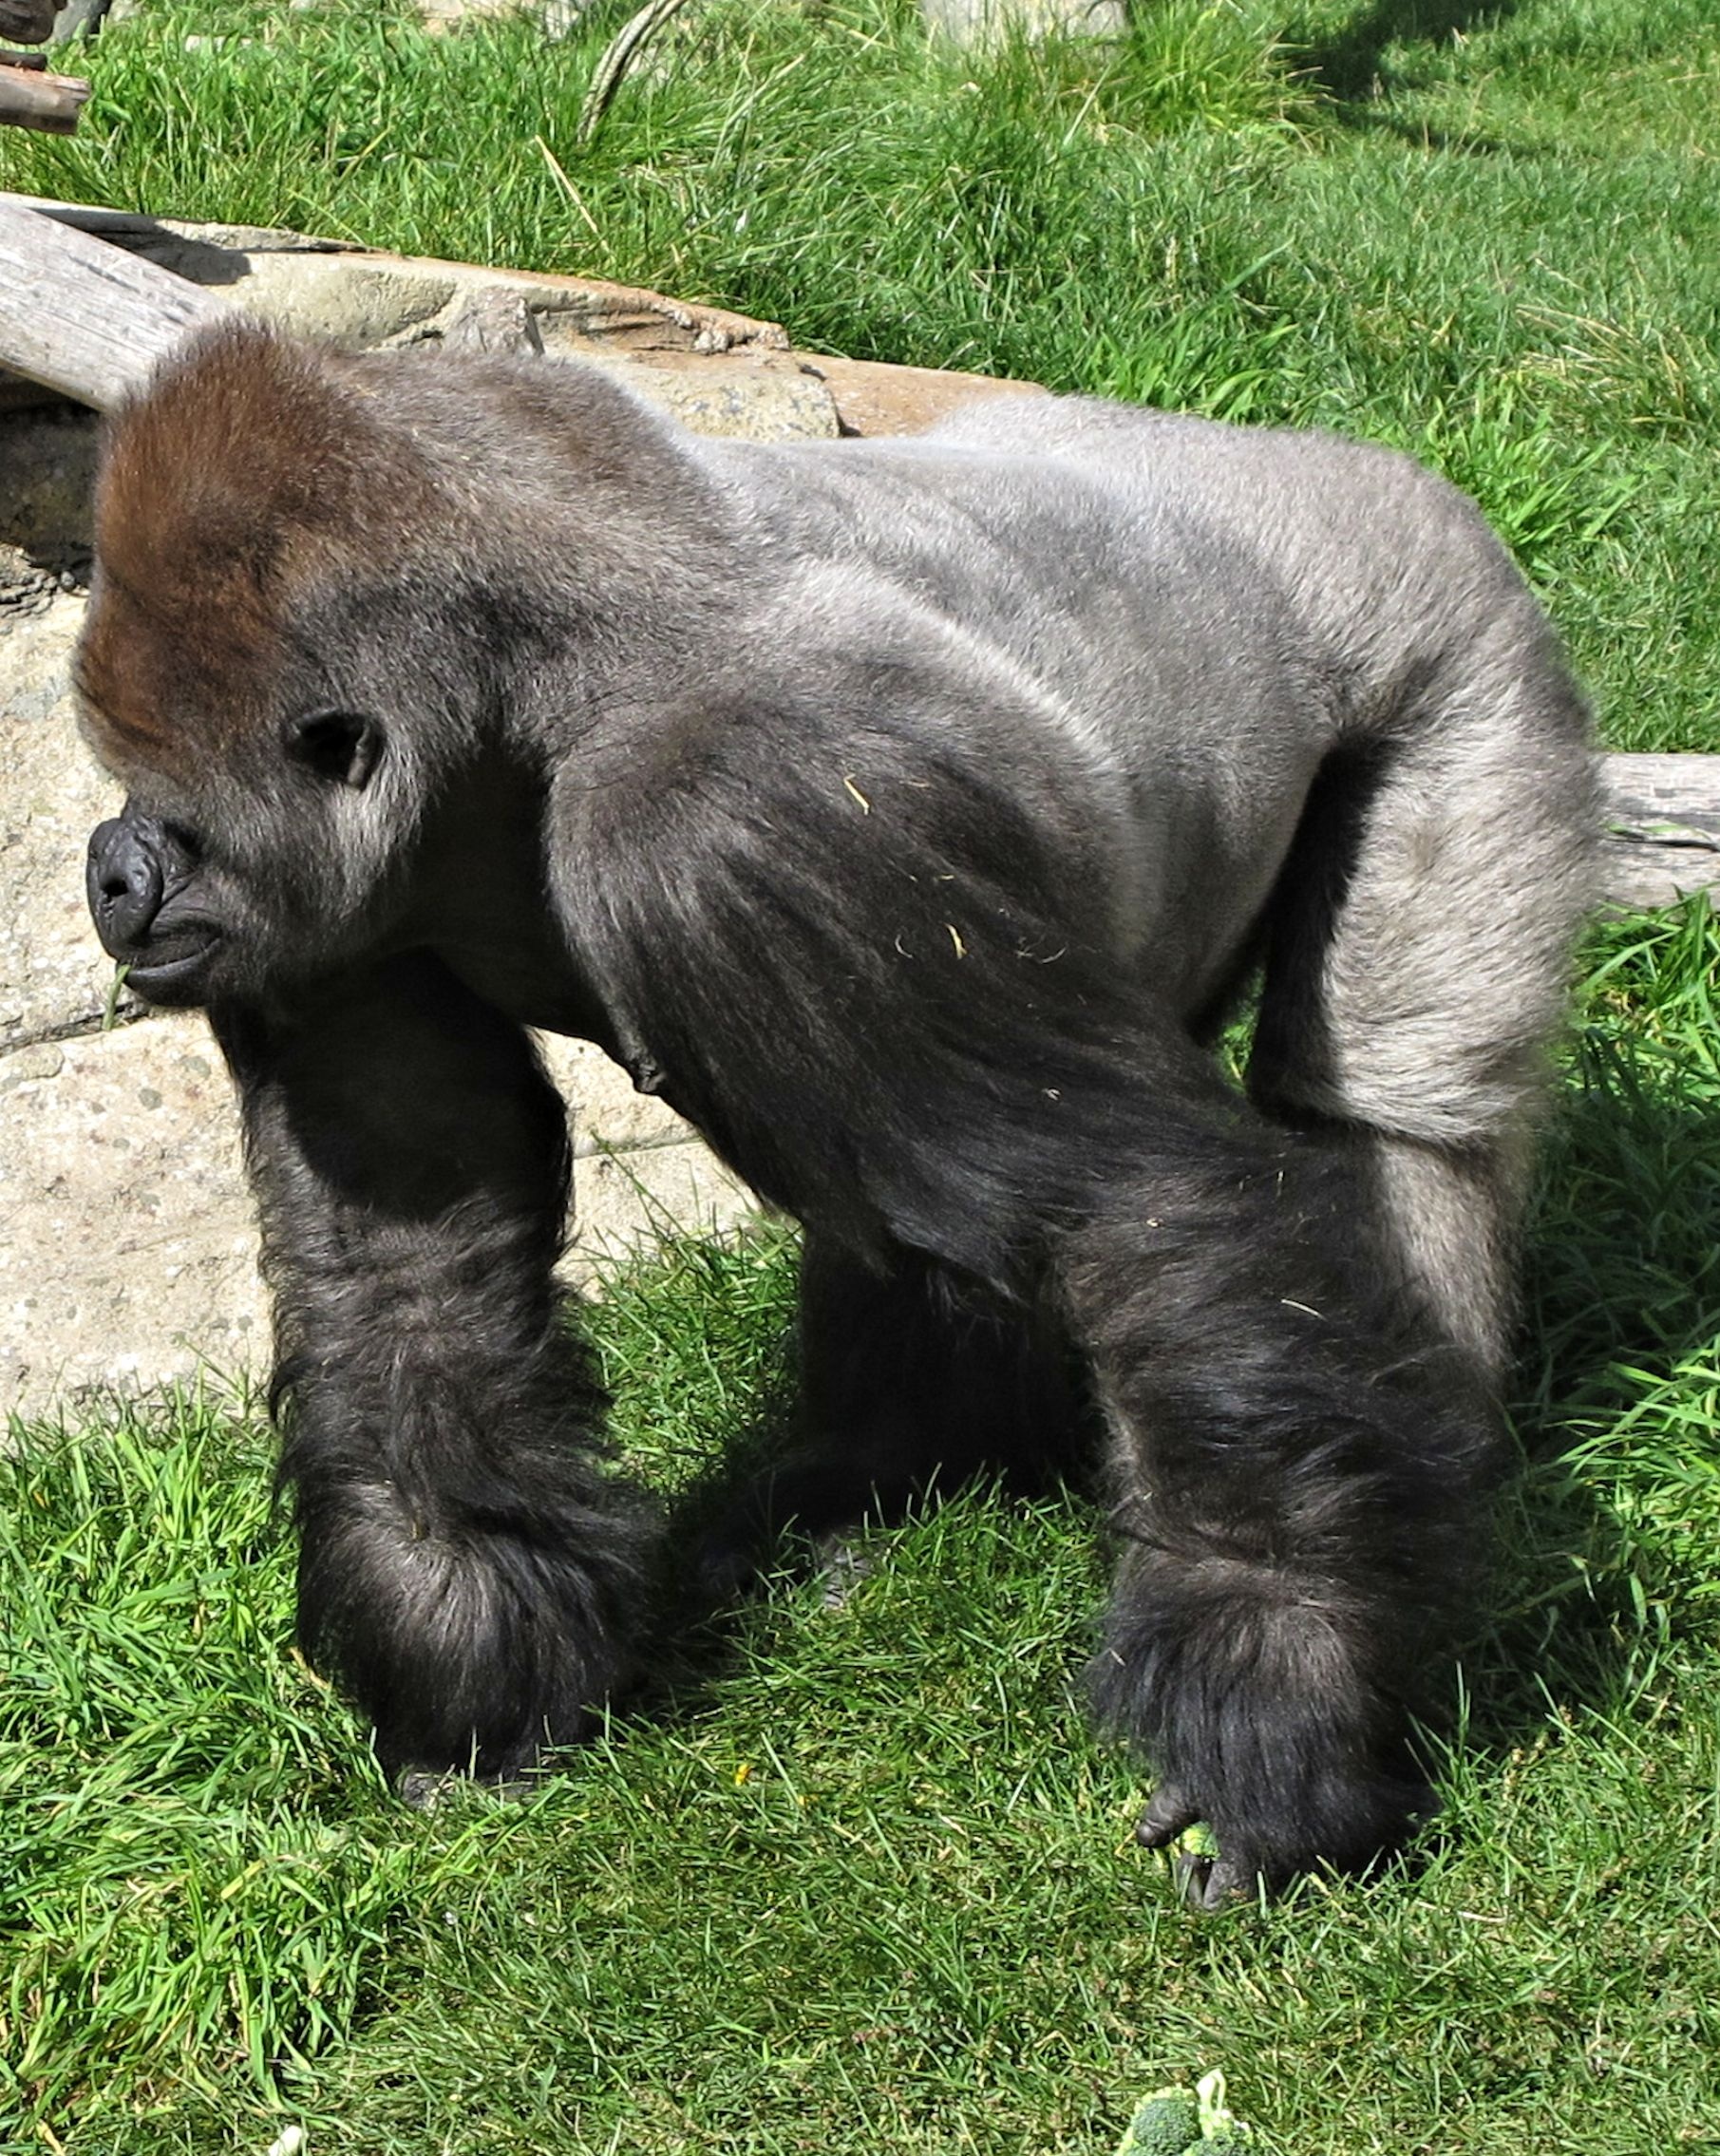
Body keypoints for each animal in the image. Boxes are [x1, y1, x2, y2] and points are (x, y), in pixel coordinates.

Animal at [79, 321, 1596, 1905]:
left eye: (172, 816)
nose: (110, 869)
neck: (522, 693)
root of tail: (1334, 459)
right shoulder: (348, 923)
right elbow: (405, 1261)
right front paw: (468, 1665)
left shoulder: (741, 806)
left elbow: (1134, 1210)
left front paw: (1278, 1697)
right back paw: (879, 1484)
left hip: (1453, 623)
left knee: (1393, 1122)